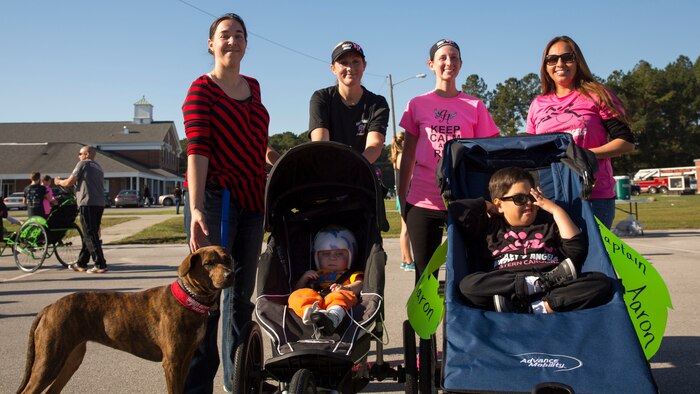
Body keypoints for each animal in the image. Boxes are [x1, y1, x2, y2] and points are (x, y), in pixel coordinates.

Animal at [16, 245, 234, 392]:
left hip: (71, 358)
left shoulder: (186, 358)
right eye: (209, 263)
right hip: (49, 360)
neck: (189, 299)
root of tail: (48, 308)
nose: (230, 274)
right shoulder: (172, 362)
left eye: (228, 260)